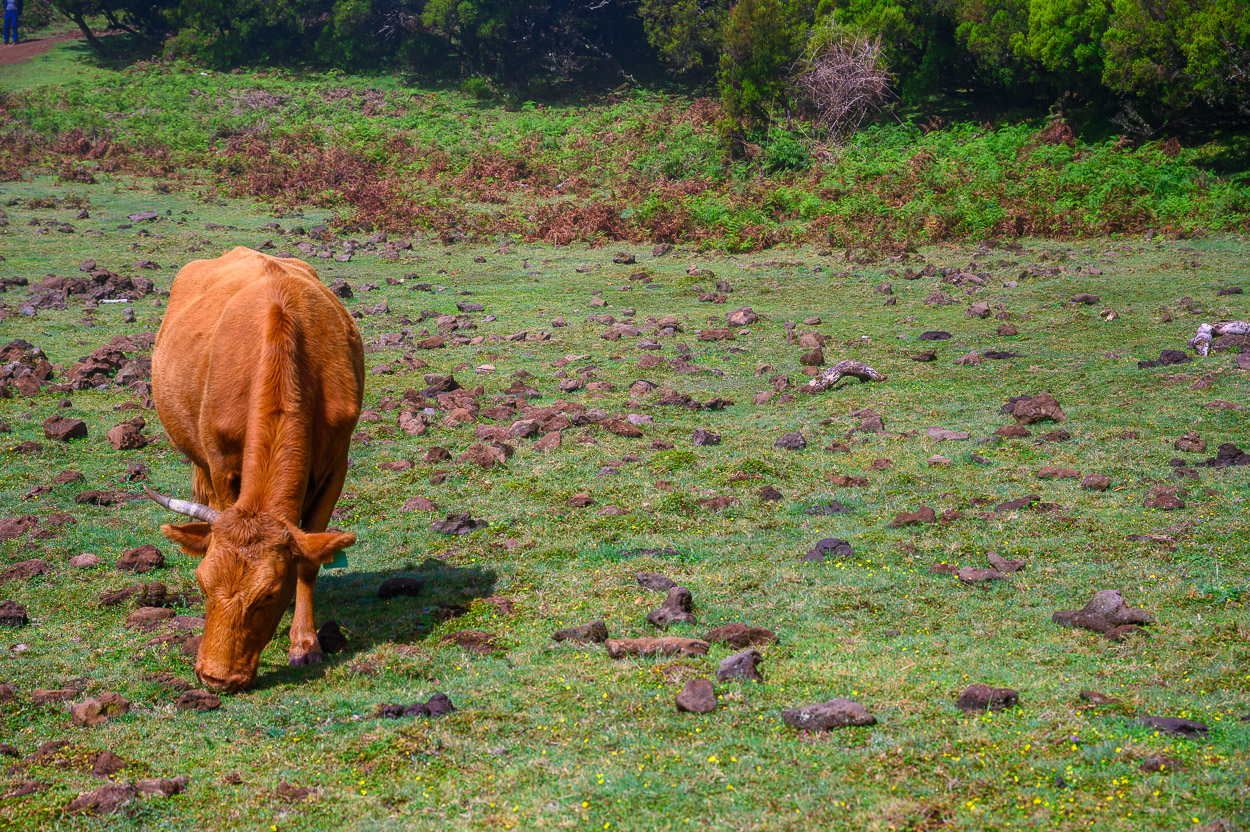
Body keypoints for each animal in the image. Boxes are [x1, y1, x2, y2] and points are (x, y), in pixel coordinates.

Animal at [144, 247, 364, 693]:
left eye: (268, 595)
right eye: (203, 583)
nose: (214, 677)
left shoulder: (337, 466)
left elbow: (310, 562)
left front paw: (305, 644)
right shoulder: (221, 466)